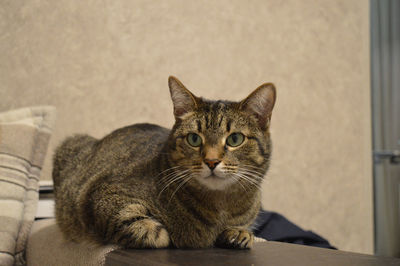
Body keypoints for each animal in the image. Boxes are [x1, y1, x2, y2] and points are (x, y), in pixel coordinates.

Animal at [51, 76, 276, 249]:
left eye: (235, 139)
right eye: (194, 139)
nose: (211, 161)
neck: (220, 206)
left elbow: (244, 230)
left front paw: (240, 234)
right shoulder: (101, 194)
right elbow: (150, 229)